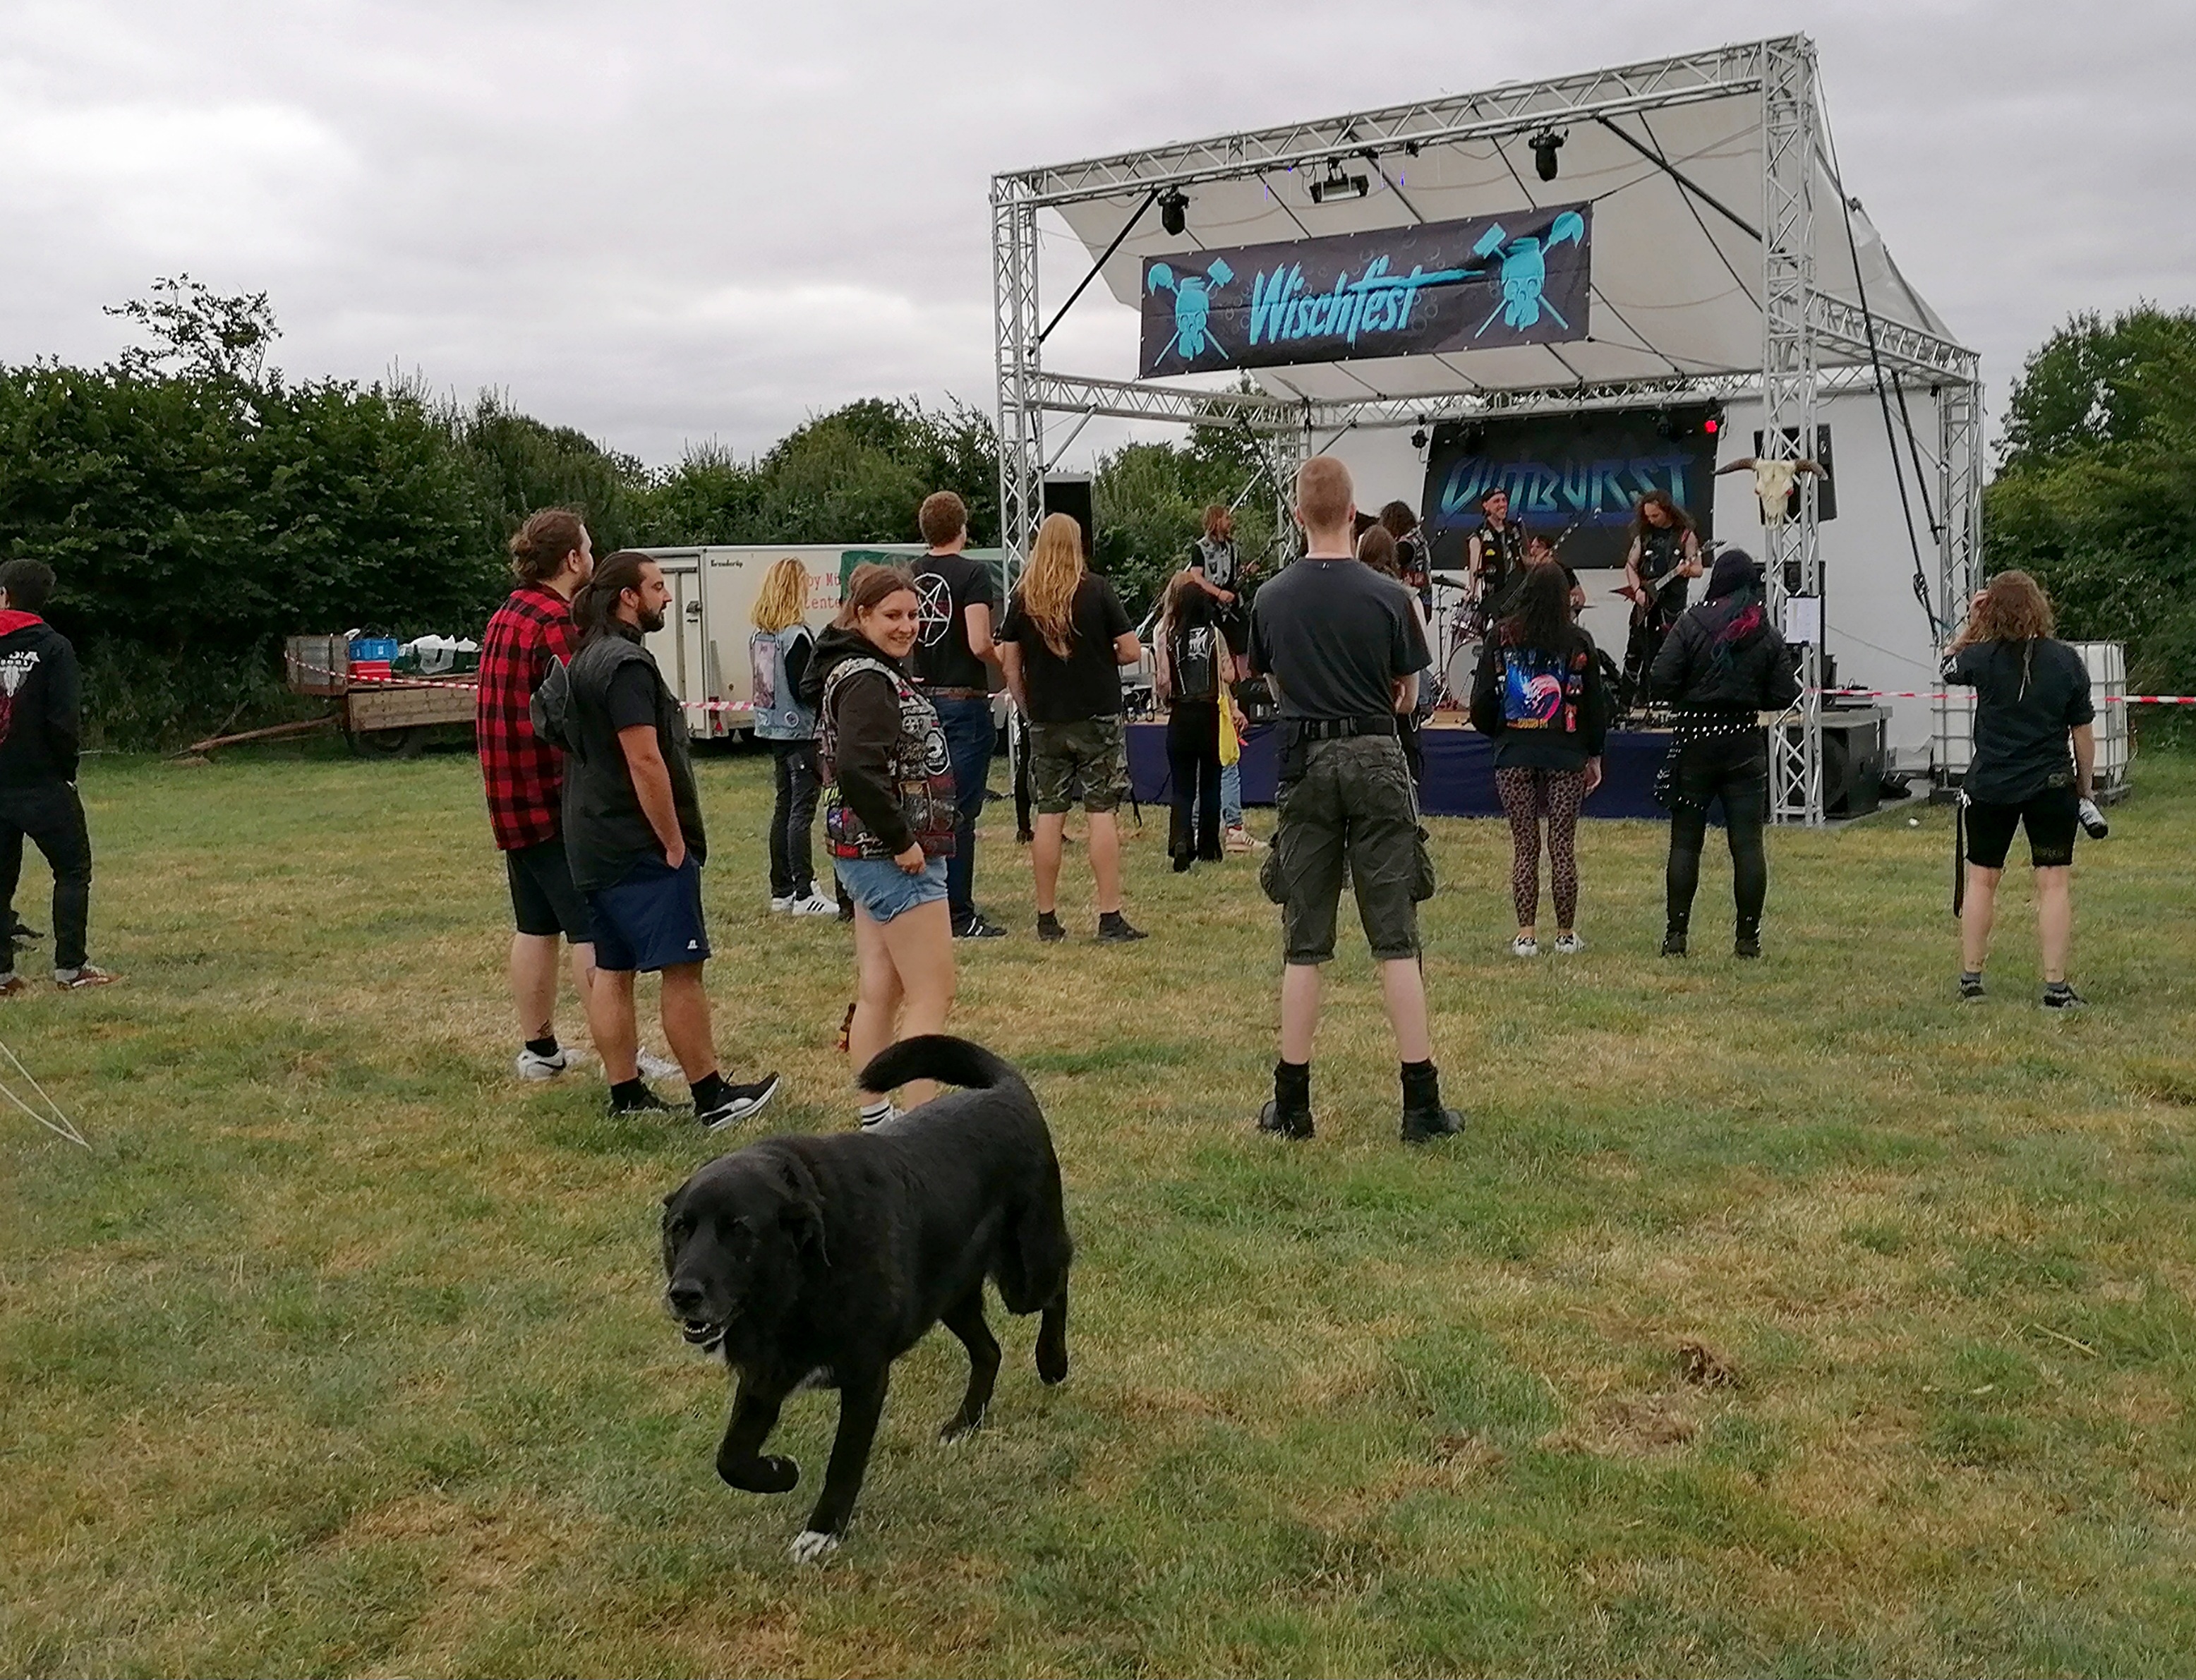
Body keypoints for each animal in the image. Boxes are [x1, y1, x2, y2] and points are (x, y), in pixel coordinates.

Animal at [658, 1037, 1071, 1564]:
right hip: (949, 1297)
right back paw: (965, 1423)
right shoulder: (764, 1379)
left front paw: (821, 1532)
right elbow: (730, 1459)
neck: (804, 1280)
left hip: (1025, 1274)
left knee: (1059, 1280)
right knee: (990, 1350)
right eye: (680, 1229)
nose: (684, 1294)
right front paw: (779, 1471)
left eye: (740, 1231)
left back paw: (1052, 1361)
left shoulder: (864, 1378)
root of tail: (1004, 1086)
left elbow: (844, 1462)